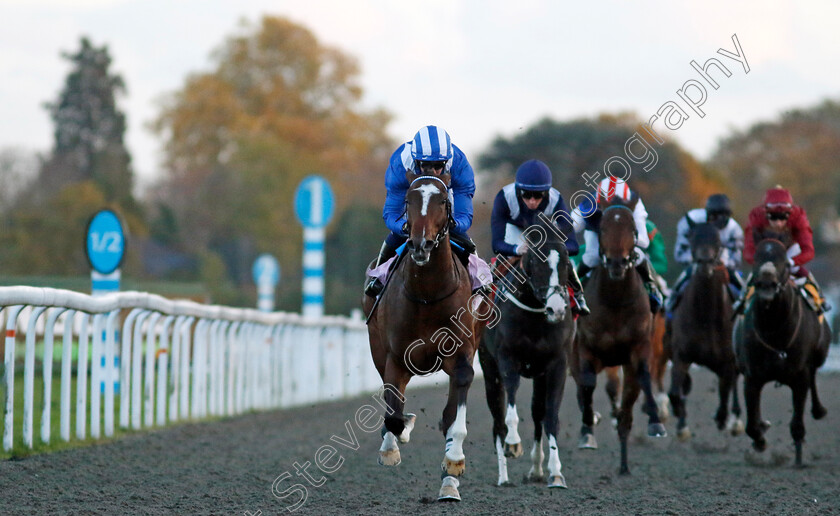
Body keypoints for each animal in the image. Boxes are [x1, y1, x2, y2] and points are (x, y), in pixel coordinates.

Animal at [360, 173, 486, 500]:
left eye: (442, 200)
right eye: (409, 199)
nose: (421, 244)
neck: (429, 294)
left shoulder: (462, 353)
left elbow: (454, 414)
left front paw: (454, 461)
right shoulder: (395, 356)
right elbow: (393, 413)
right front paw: (394, 443)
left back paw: (449, 485)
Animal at [480, 216, 576, 490]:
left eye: (566, 260)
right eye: (534, 260)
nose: (556, 308)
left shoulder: (557, 364)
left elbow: (550, 417)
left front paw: (556, 473)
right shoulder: (507, 359)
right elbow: (510, 409)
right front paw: (513, 445)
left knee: (537, 413)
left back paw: (536, 469)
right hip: (489, 369)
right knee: (497, 419)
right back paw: (503, 476)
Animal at [664, 220, 740, 442]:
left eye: (718, 241)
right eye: (692, 239)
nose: (705, 263)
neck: (706, 315)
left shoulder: (728, 361)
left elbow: (725, 392)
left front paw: (723, 419)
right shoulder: (681, 355)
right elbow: (675, 392)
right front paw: (681, 421)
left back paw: (736, 421)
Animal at [732, 240, 832, 466]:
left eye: (784, 263)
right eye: (756, 259)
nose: (767, 283)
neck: (774, 331)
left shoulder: (800, 376)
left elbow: (797, 422)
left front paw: (798, 458)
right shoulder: (752, 376)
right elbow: (751, 424)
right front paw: (760, 440)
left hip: (819, 354)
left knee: (814, 375)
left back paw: (819, 410)